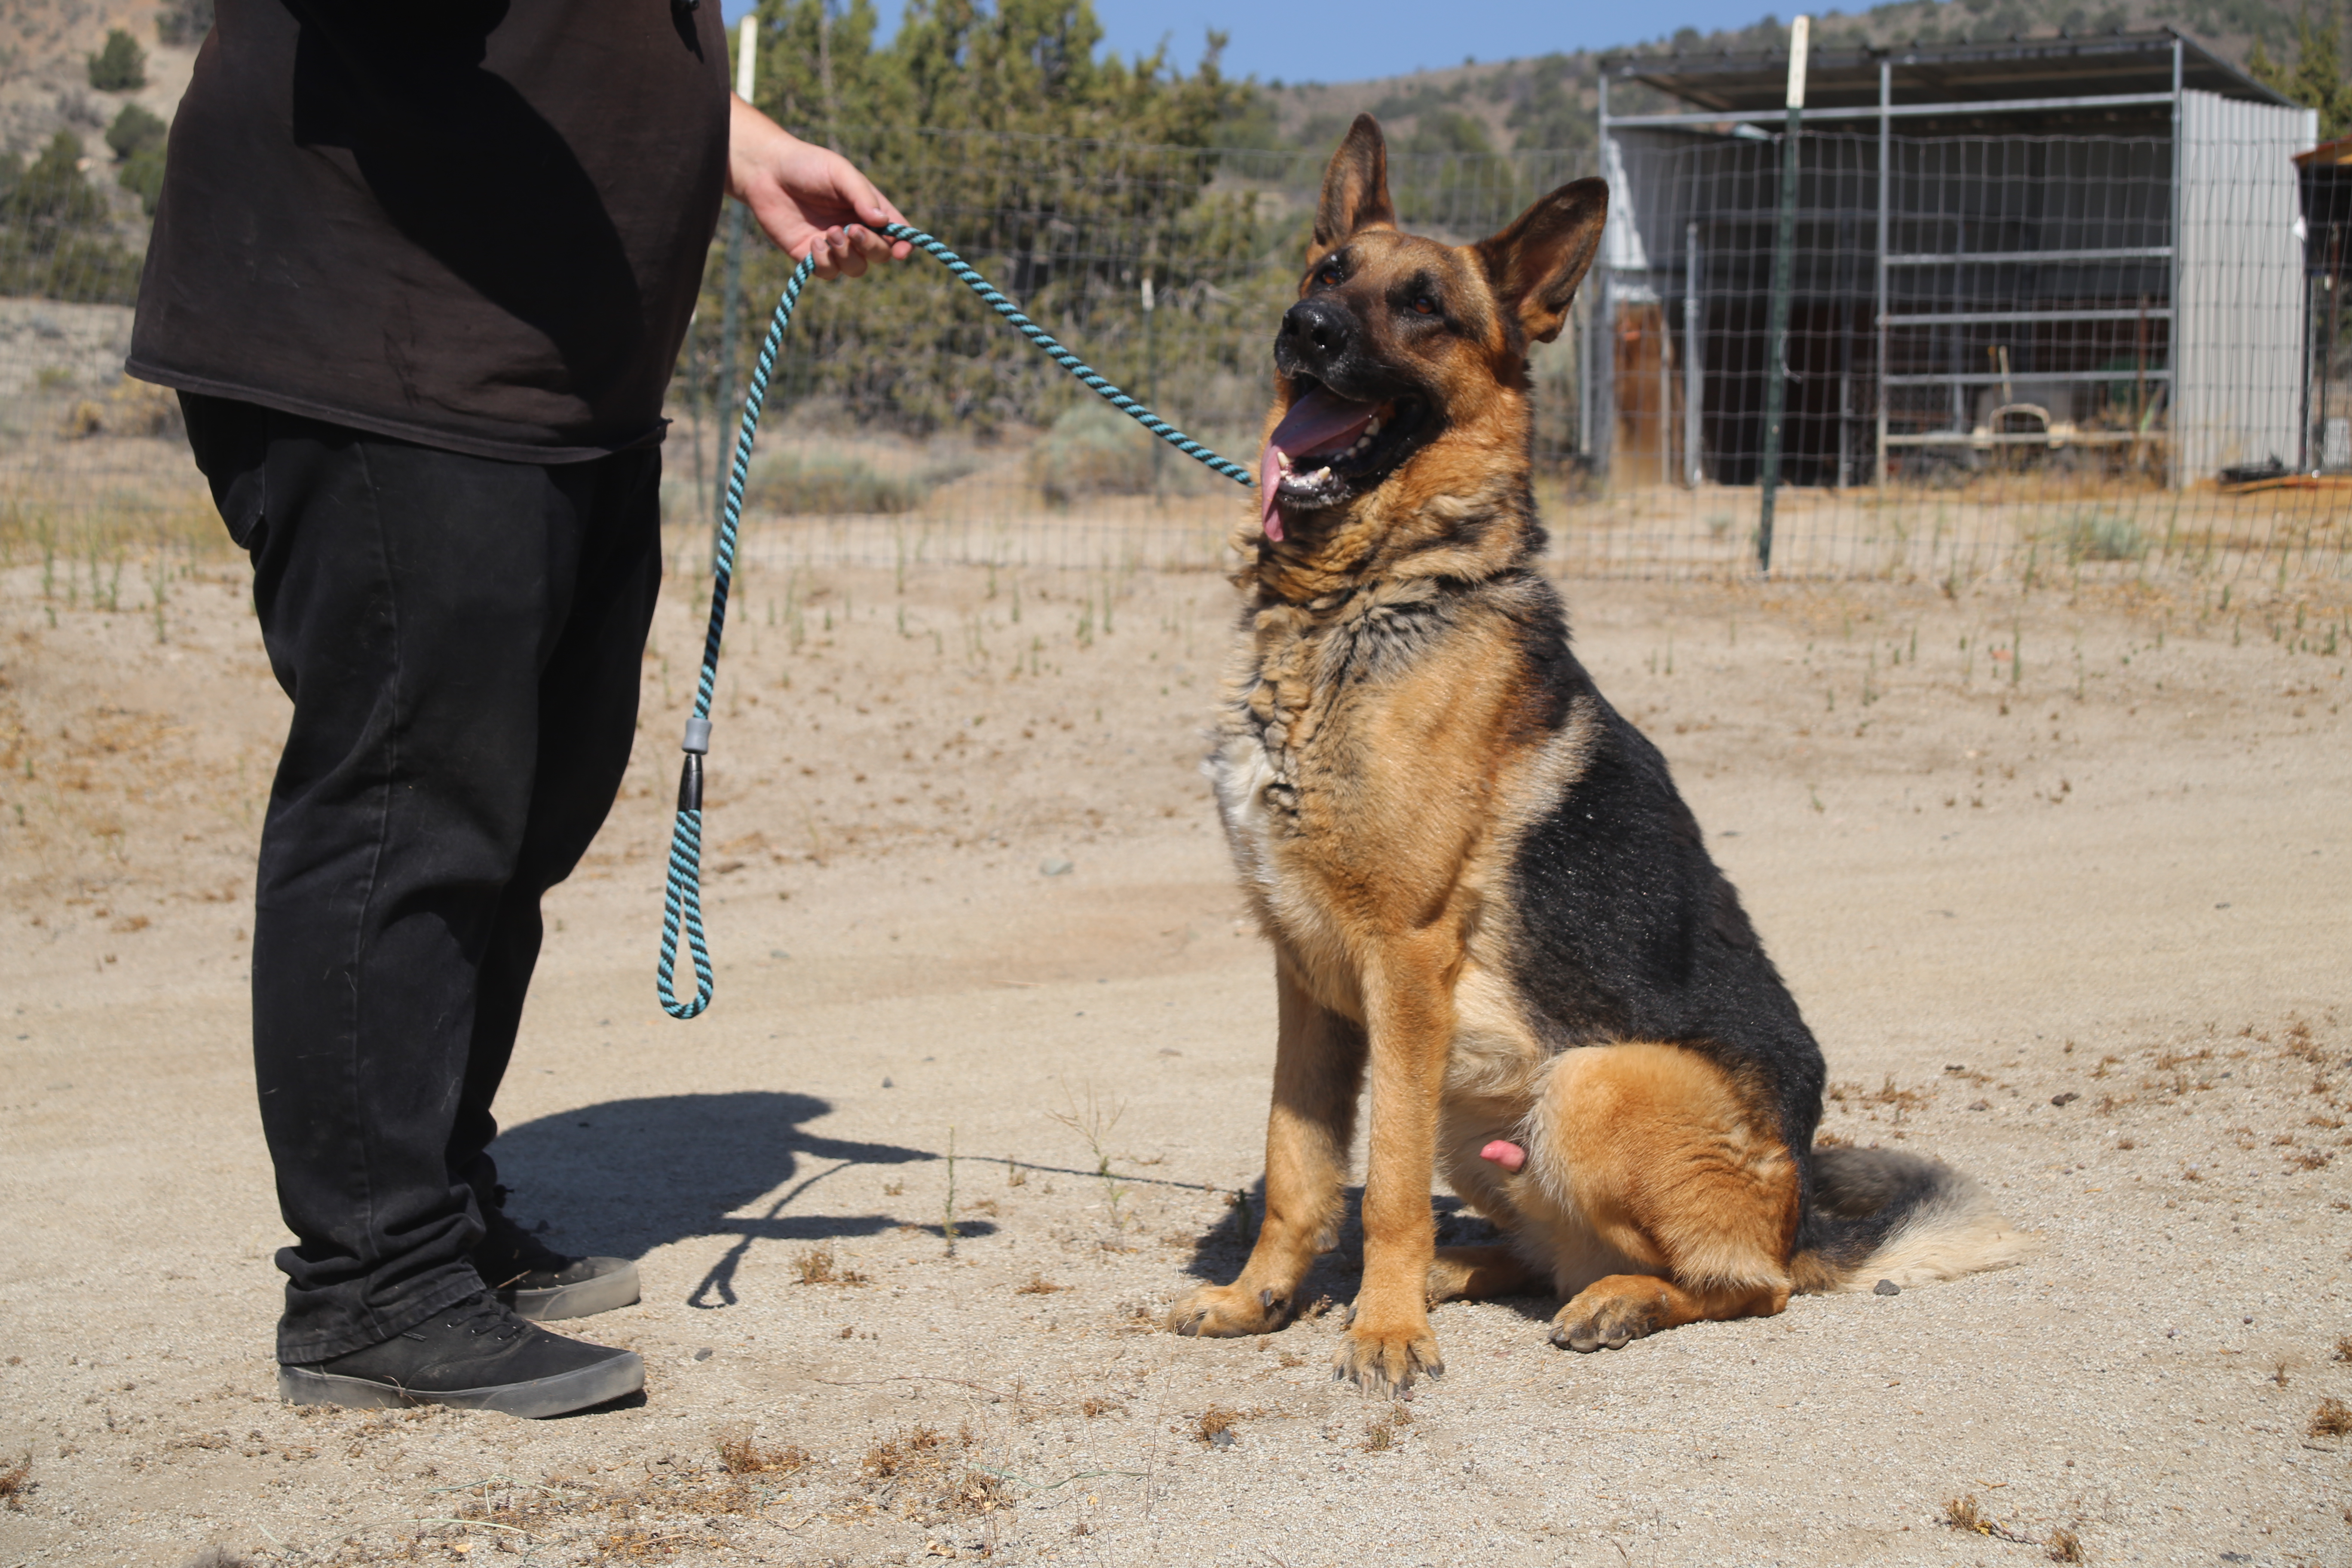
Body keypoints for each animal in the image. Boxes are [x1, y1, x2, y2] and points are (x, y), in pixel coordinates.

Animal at [1176, 122, 2041, 1401]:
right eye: (1329, 270)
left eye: (1423, 304)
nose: (1306, 329)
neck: (1360, 600)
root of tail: (1801, 1218)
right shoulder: (1306, 974)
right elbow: (1296, 1167)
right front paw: (1260, 1301)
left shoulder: (1402, 962)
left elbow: (1381, 1191)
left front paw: (1382, 1331)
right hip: (1477, 1109)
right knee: (1550, 1254)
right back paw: (1482, 1270)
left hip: (1584, 1084)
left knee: (1746, 1287)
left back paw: (1611, 1300)